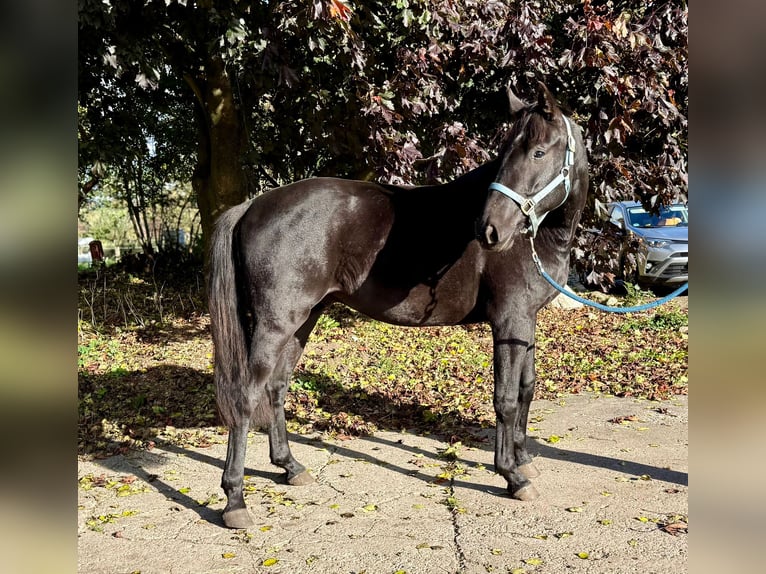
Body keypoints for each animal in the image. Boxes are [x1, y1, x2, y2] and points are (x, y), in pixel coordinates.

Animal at [207, 82, 589, 528]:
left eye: (538, 152)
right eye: (506, 152)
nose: (490, 230)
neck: (537, 237)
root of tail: (252, 205)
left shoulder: (526, 322)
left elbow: (526, 390)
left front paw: (524, 460)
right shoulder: (509, 322)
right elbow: (506, 400)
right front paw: (512, 475)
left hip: (302, 321)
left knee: (276, 387)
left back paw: (290, 467)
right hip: (275, 324)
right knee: (247, 396)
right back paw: (235, 500)